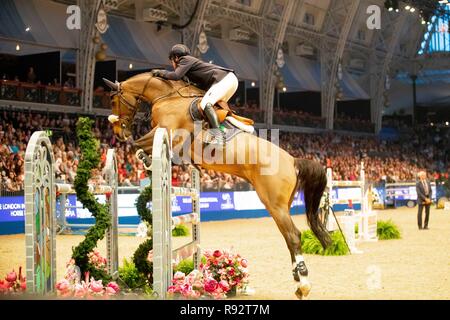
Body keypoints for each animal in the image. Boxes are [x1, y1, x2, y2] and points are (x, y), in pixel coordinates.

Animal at [103, 72, 330, 298]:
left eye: (113, 101)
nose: (119, 133)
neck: (167, 97)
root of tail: (292, 161)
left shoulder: (168, 132)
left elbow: (138, 144)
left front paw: (145, 159)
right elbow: (141, 145)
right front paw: (146, 159)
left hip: (275, 204)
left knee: (293, 236)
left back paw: (304, 283)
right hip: (280, 204)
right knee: (289, 237)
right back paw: (298, 283)